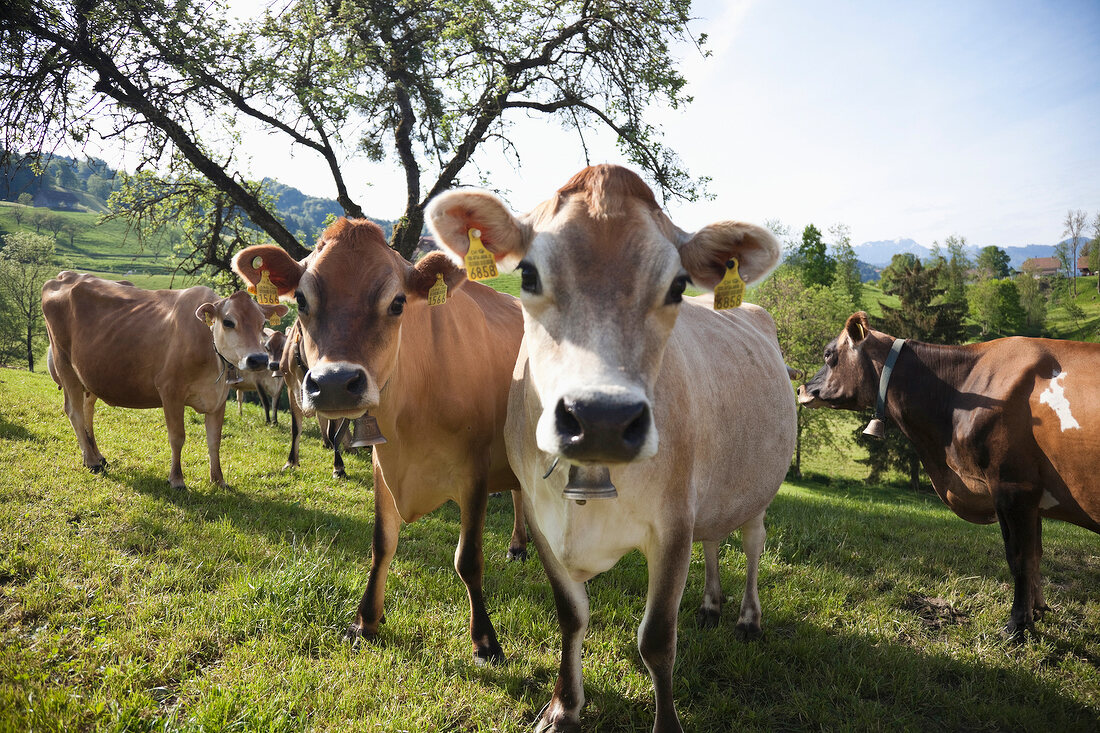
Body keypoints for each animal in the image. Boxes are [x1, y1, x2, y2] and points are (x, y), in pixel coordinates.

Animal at [41, 270, 288, 488]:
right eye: (228, 322)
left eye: (262, 323)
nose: (258, 359)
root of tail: (66, 276)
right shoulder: (170, 391)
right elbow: (177, 437)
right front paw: (177, 479)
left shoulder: (218, 398)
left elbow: (214, 441)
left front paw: (218, 480)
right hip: (65, 364)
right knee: (74, 411)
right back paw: (91, 461)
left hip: (90, 374)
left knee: (87, 410)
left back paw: (97, 455)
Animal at [232, 217, 528, 660]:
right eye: (301, 300)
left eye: (398, 303)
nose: (334, 383)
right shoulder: (382, 463)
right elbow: (382, 543)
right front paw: (365, 620)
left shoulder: (475, 471)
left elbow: (468, 558)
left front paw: (485, 640)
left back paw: (519, 545)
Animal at [424, 165, 796, 730]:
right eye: (527, 275)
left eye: (678, 285)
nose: (601, 417)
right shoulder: (541, 519)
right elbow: (571, 616)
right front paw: (563, 707)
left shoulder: (672, 525)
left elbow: (657, 640)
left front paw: (666, 723)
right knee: (714, 538)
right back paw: (710, 605)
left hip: (755, 486)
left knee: (752, 541)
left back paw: (747, 618)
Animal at [800, 310, 1100, 638]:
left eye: (829, 354)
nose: (801, 389)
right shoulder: (1033, 498)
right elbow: (1036, 555)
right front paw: (1038, 612)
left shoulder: (1012, 486)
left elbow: (1019, 558)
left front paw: (1016, 627)